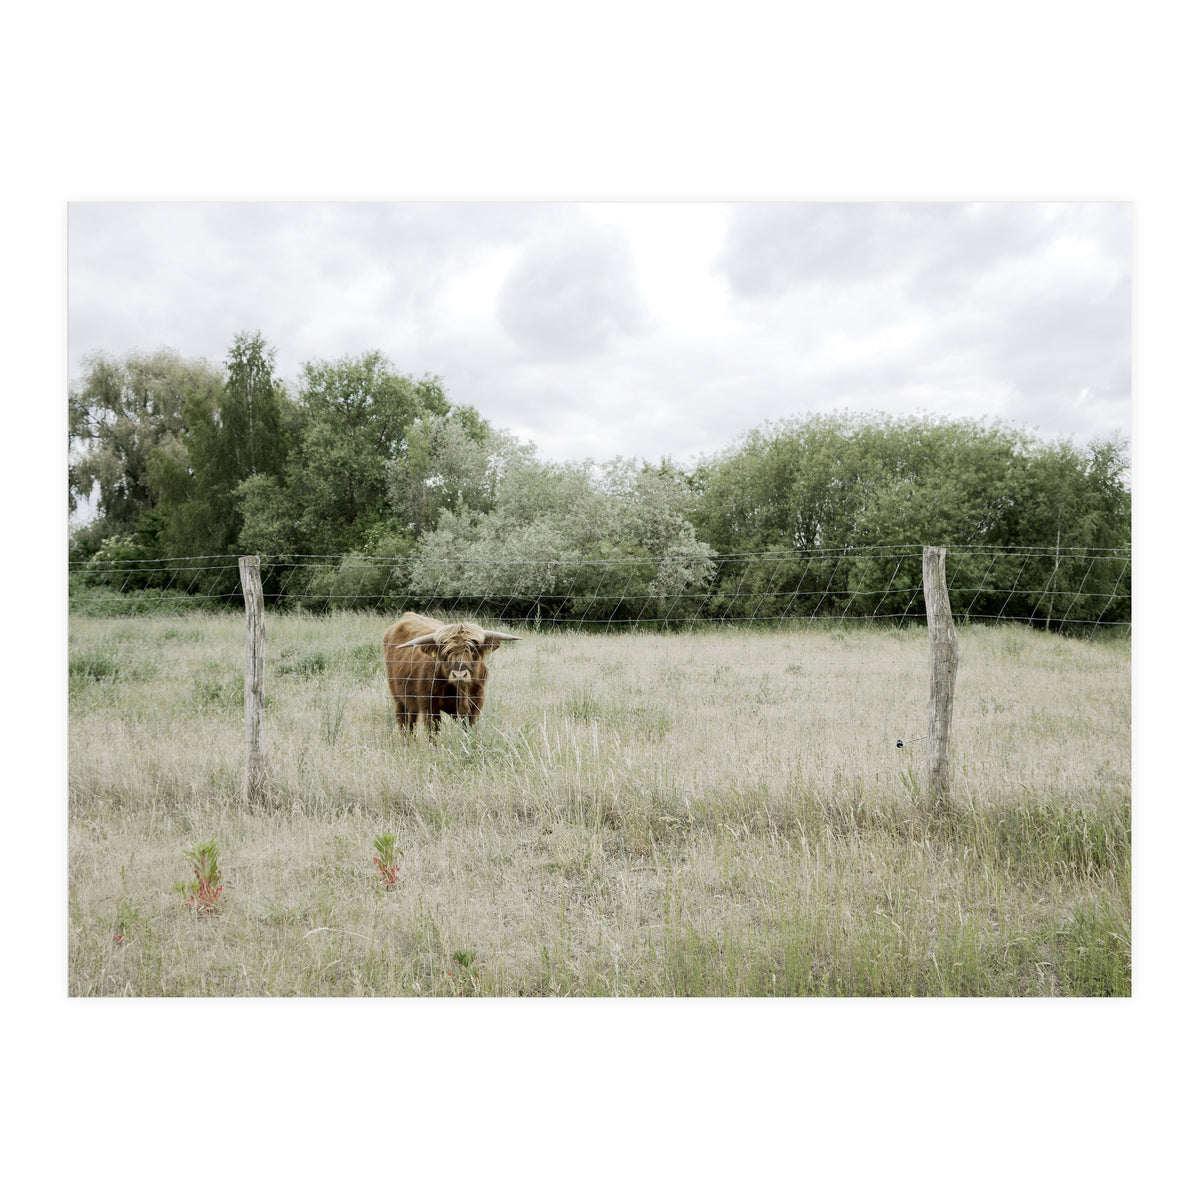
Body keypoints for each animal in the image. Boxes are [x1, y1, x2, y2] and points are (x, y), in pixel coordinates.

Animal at [382, 612, 520, 734]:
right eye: (447, 652)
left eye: (473, 650)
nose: (459, 675)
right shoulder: (429, 706)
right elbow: (433, 733)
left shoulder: (476, 705)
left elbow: (471, 730)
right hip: (399, 698)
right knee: (404, 723)